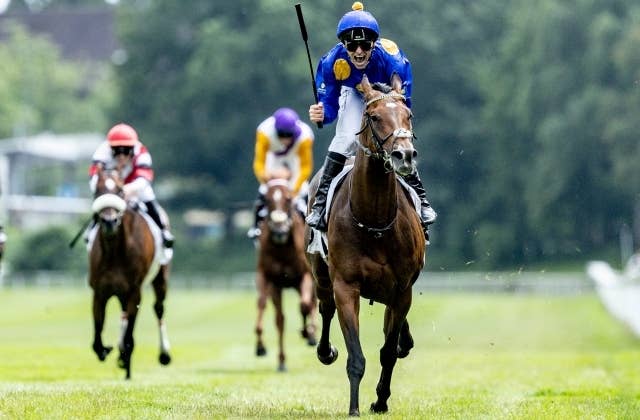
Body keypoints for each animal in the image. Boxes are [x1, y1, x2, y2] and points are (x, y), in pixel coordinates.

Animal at [88, 166, 172, 379]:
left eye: (119, 190)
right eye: (98, 190)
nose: (109, 221)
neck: (115, 251)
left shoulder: (135, 291)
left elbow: (129, 337)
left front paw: (125, 361)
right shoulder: (100, 291)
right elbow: (98, 332)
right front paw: (106, 350)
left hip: (161, 278)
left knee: (158, 309)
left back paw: (164, 354)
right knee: (123, 314)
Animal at [255, 175, 317, 372]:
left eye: (289, 199)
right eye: (266, 200)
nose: (279, 230)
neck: (282, 249)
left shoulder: (305, 276)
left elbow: (305, 305)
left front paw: (308, 333)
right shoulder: (273, 281)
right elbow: (278, 319)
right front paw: (278, 358)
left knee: (312, 304)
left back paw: (312, 334)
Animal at [305, 74, 426, 416]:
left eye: (408, 115)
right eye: (374, 117)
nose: (404, 155)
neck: (374, 222)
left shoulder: (402, 290)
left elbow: (387, 351)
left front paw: (380, 400)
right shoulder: (346, 286)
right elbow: (356, 356)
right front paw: (354, 408)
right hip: (321, 274)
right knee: (325, 308)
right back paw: (325, 351)